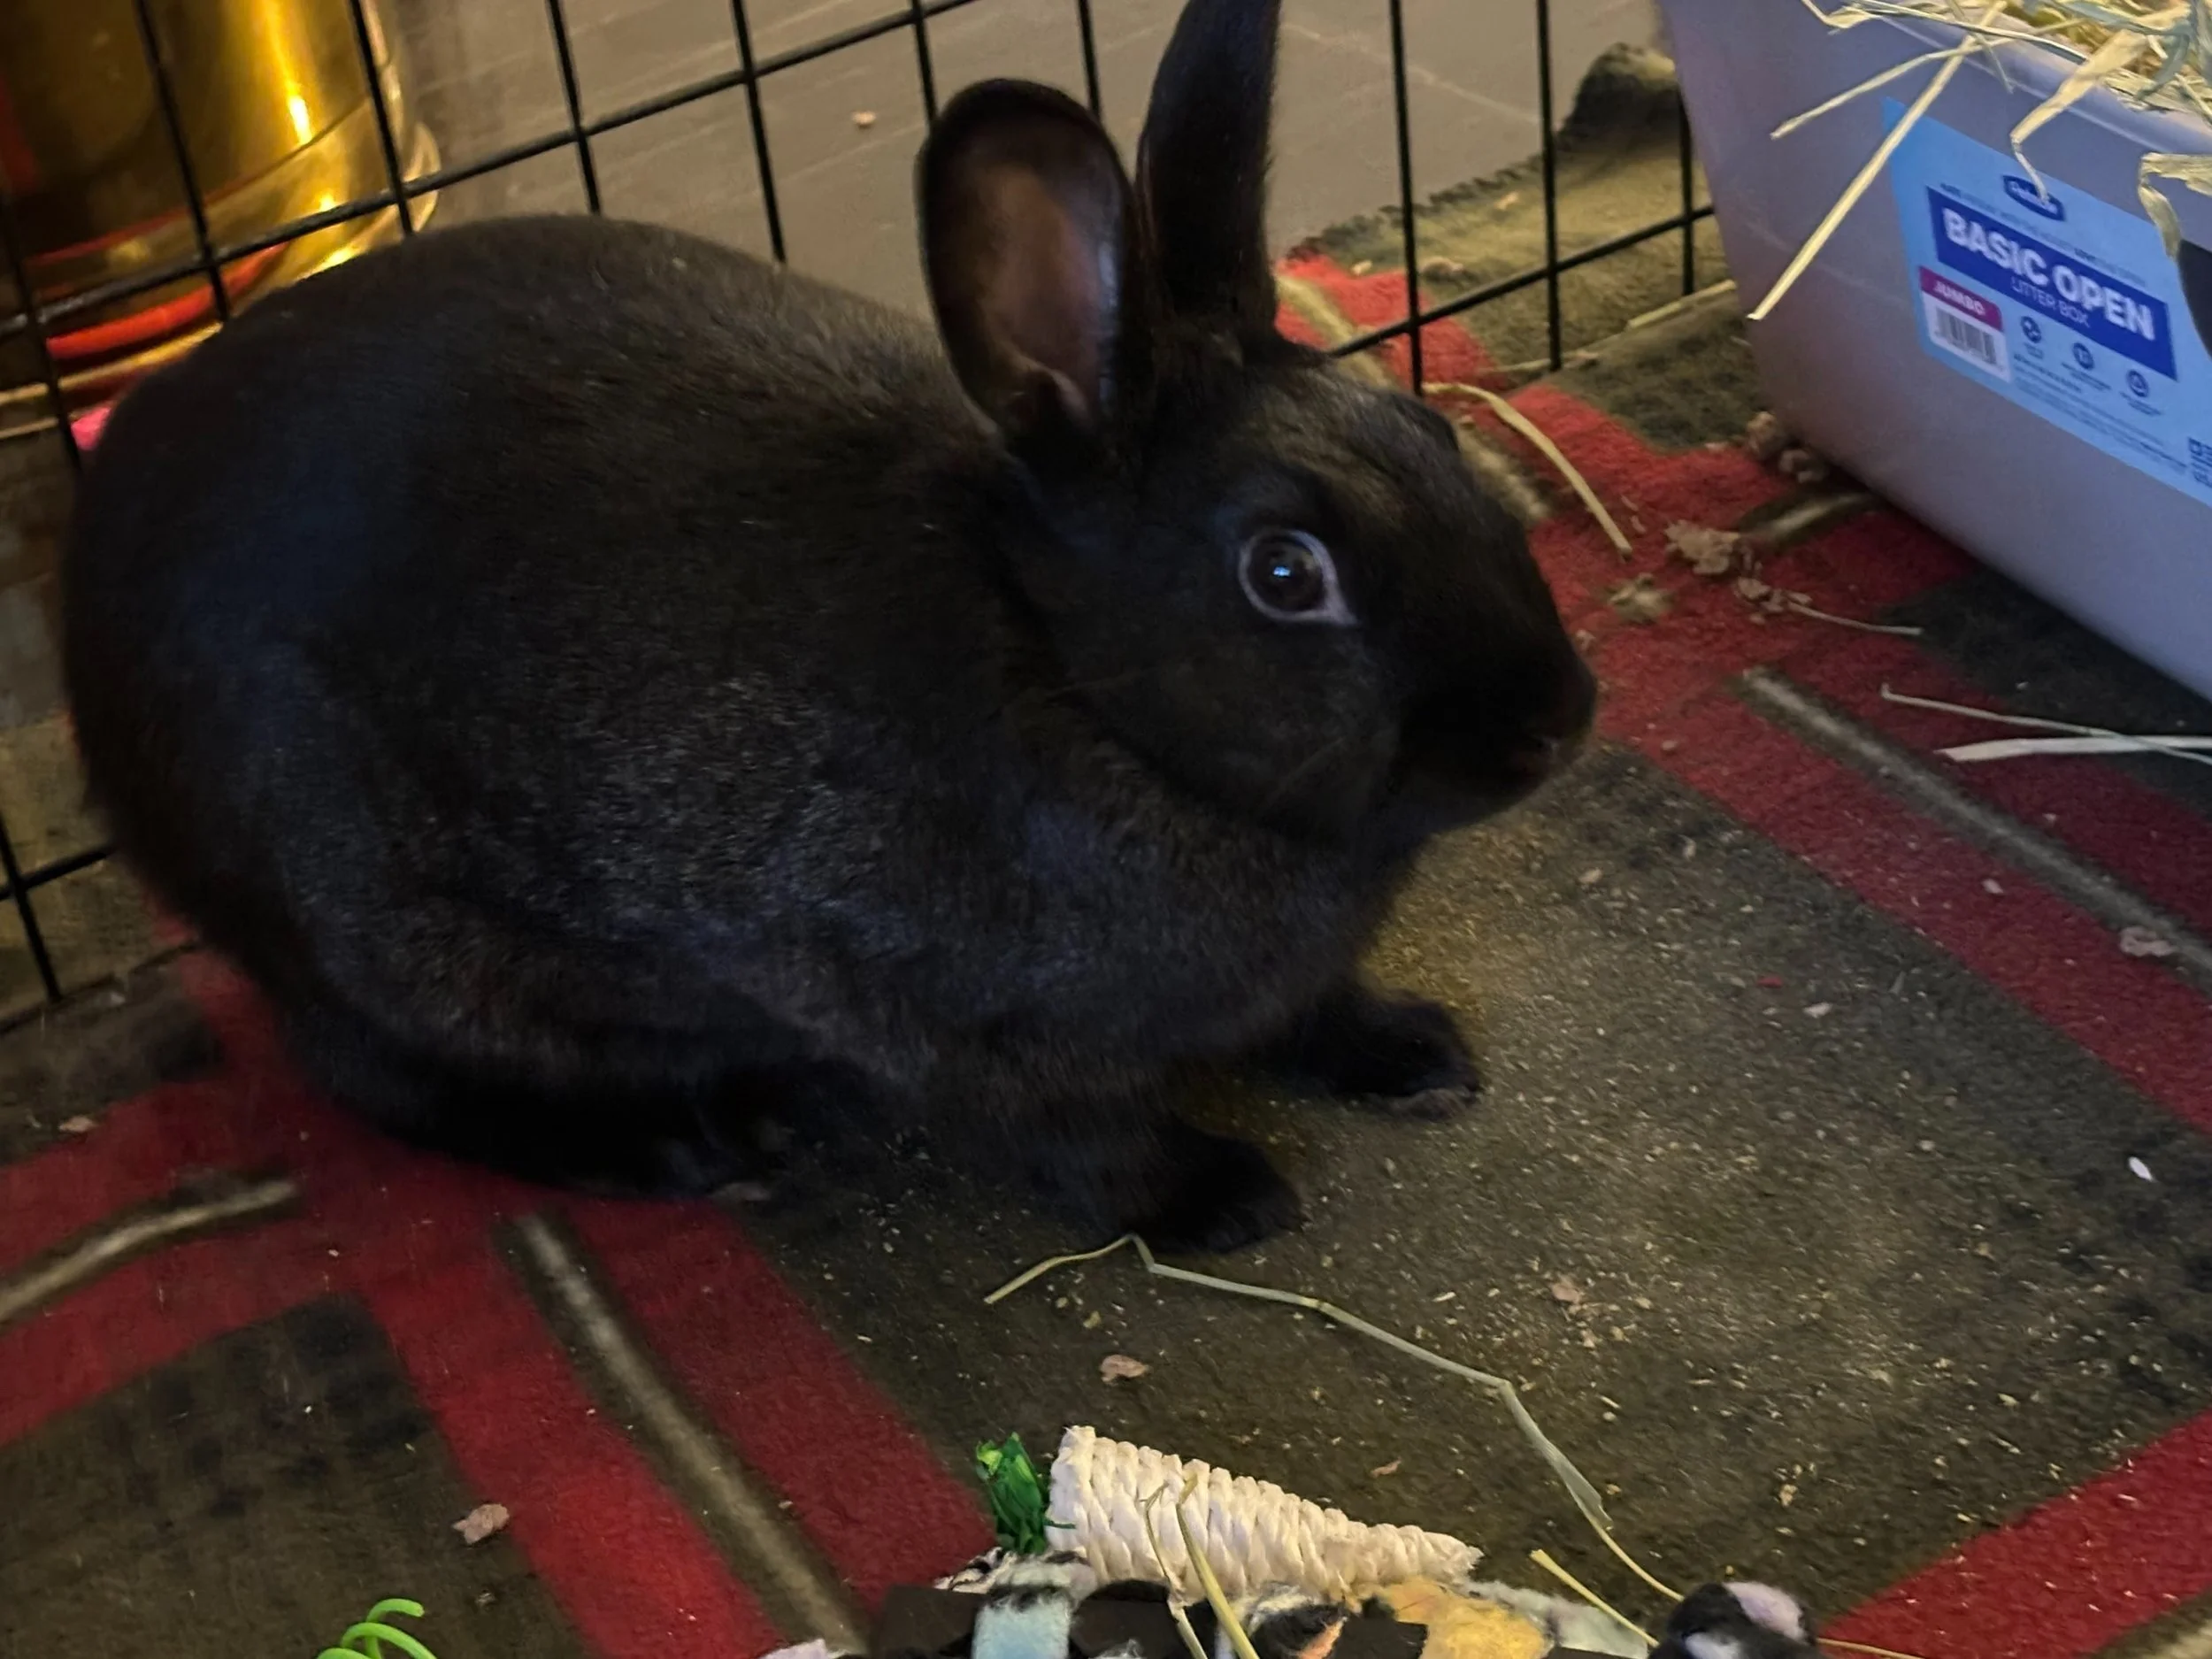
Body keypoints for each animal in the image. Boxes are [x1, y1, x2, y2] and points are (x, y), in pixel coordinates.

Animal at [60, 0, 1595, 1252]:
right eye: (1284, 572)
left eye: (1430, 434)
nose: (1558, 724)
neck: (1080, 687)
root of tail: (84, 619)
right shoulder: (949, 1021)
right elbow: (1071, 1138)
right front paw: (1221, 1194)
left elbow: (1313, 1008)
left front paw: (1414, 1054)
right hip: (380, 942)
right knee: (386, 1080)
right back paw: (677, 1142)